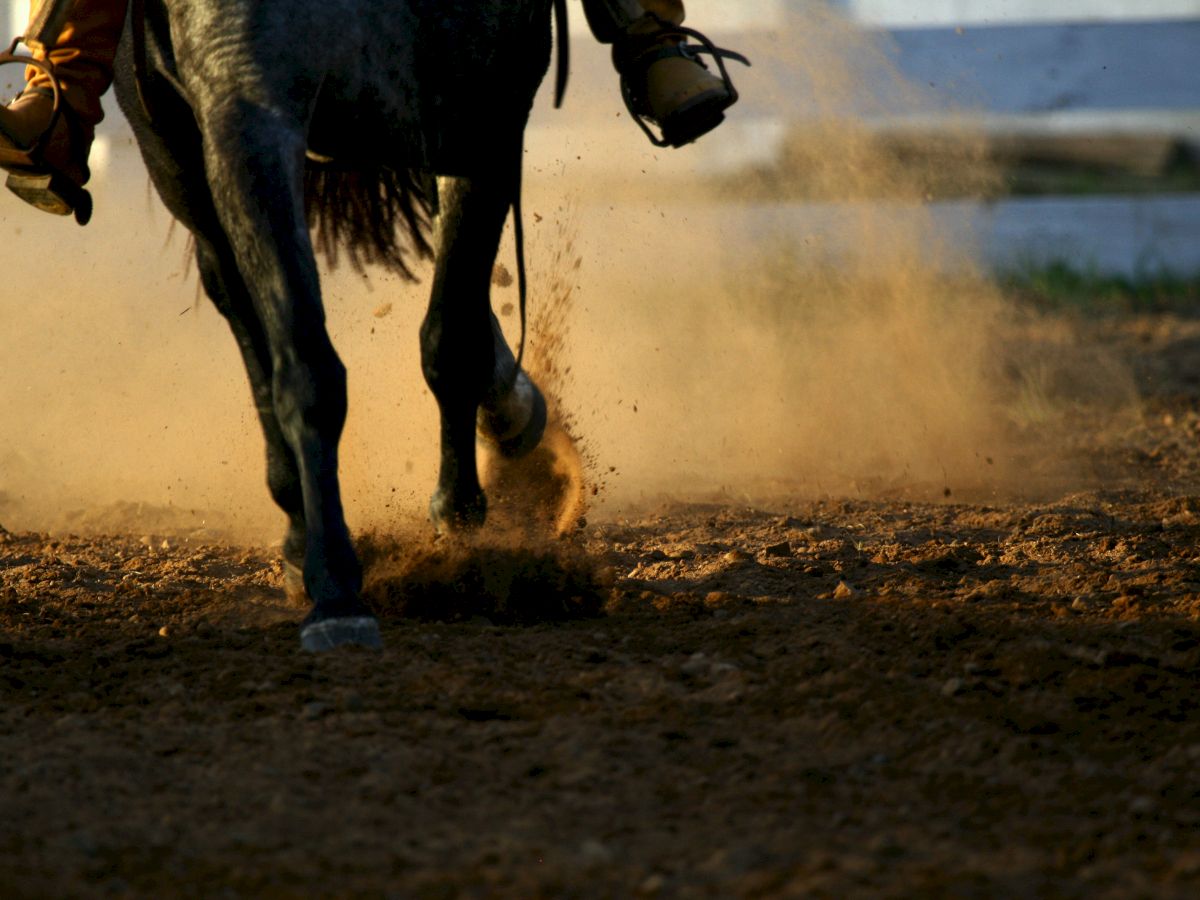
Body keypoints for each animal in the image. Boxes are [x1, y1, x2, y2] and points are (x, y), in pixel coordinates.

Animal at [110, 0, 564, 648]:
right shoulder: (242, 107)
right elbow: (304, 363)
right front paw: (336, 590)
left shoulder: (486, 100)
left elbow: (451, 334)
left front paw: (460, 517)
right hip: (182, 164)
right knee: (241, 307)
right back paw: (300, 530)